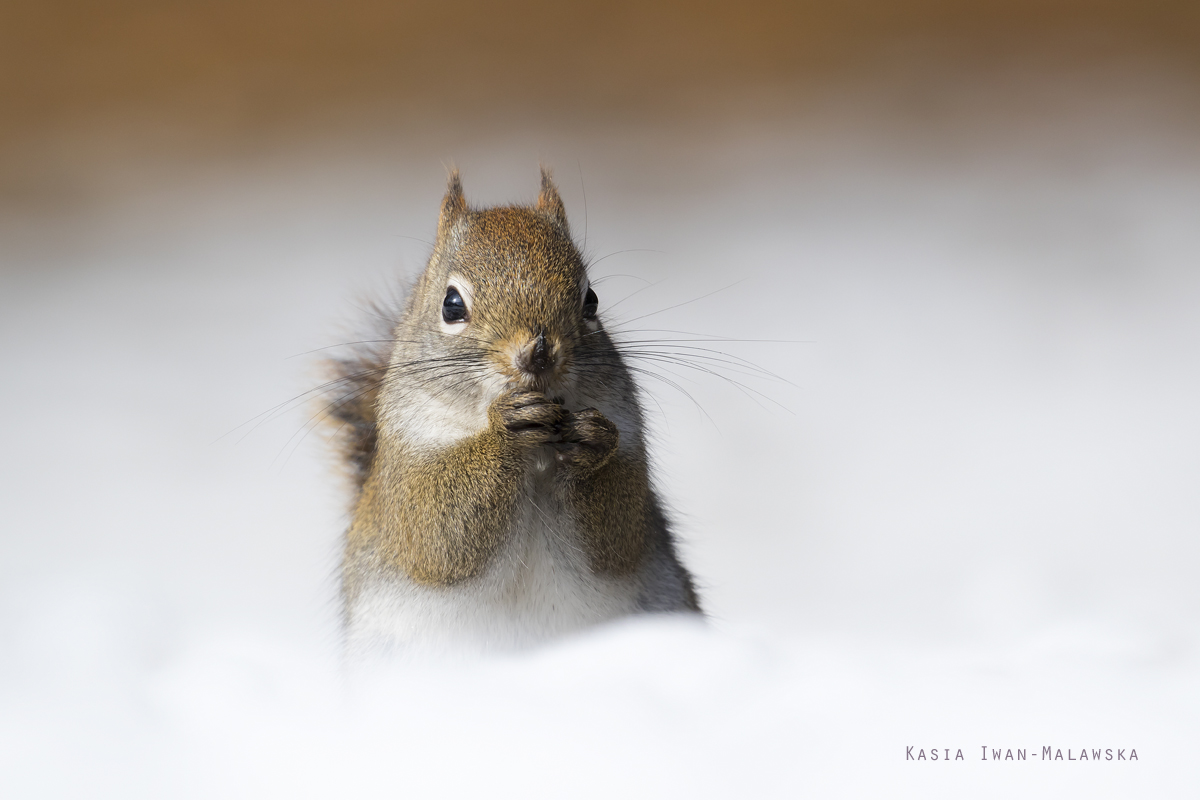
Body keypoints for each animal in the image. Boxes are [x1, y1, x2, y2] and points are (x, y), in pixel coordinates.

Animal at [328, 169, 700, 657]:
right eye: (451, 304)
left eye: (592, 300)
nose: (539, 353)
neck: (540, 452)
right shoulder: (405, 466)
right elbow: (437, 541)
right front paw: (504, 433)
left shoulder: (628, 433)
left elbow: (616, 540)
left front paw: (592, 445)